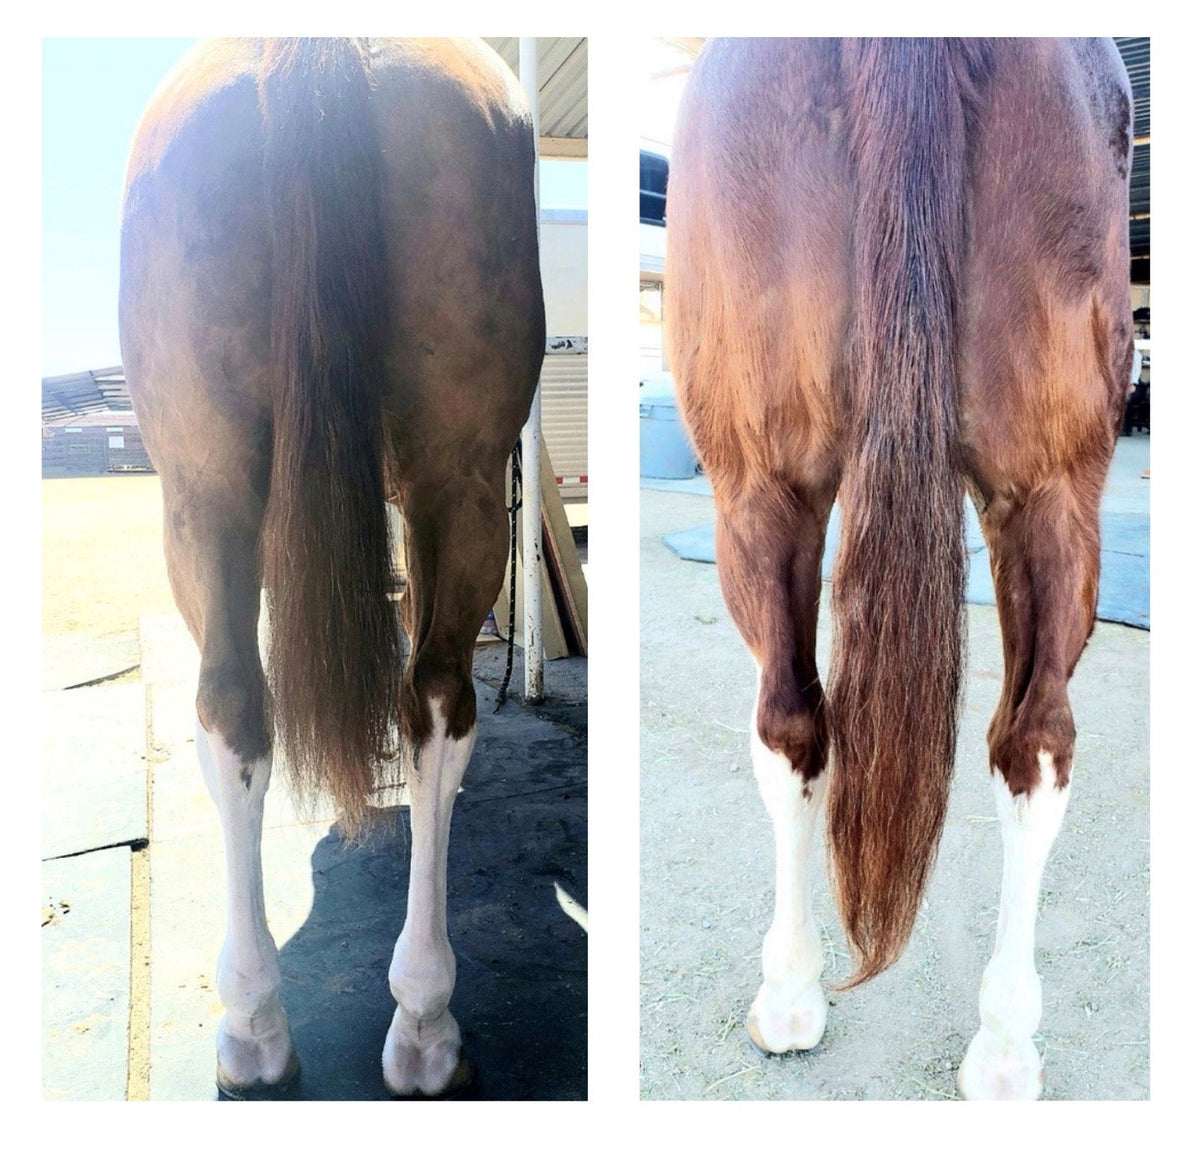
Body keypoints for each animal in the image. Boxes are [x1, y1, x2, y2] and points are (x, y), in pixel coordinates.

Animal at [118, 37, 544, 1098]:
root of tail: (321, 43)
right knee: (417, 701)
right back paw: (401, 1021)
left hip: (212, 490)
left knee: (257, 704)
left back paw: (284, 1022)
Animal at [666, 37, 1132, 1100]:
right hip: (1045, 491)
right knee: (1029, 742)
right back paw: (1002, 1045)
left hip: (762, 492)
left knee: (799, 722)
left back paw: (802, 995)